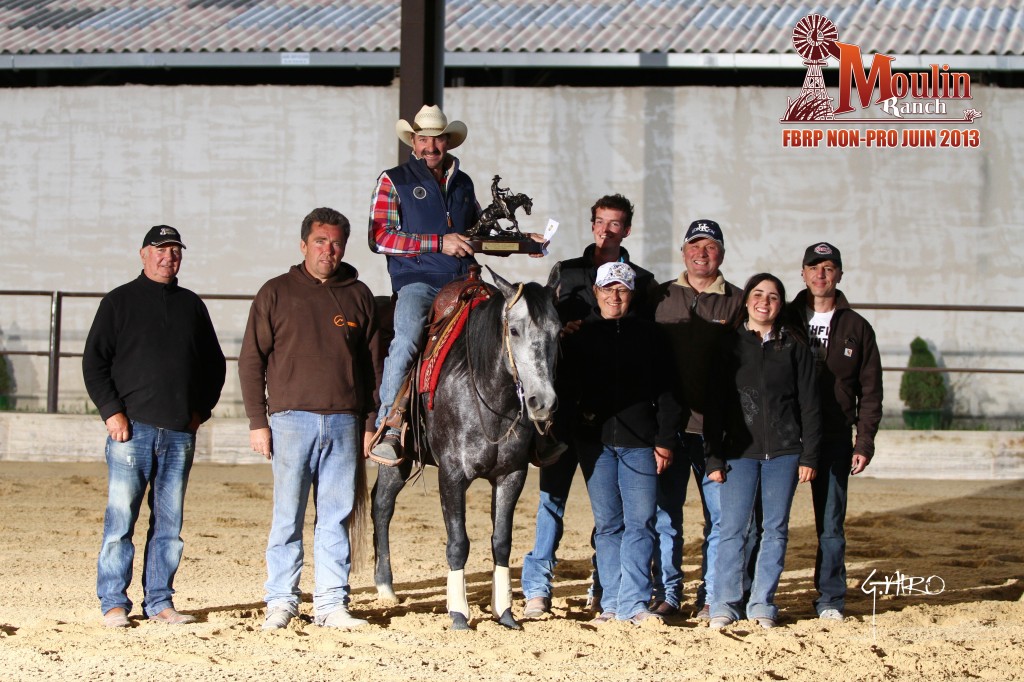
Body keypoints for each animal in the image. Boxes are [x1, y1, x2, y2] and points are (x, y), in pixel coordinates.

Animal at [370, 264, 561, 626]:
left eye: (558, 333)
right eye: (514, 330)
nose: (542, 402)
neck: (488, 397)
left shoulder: (511, 475)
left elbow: (501, 541)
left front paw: (505, 612)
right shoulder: (452, 475)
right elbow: (458, 542)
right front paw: (458, 612)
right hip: (396, 459)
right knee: (381, 507)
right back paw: (385, 588)